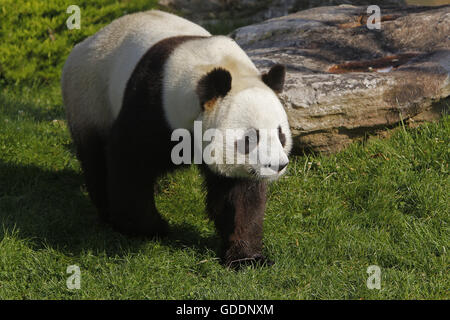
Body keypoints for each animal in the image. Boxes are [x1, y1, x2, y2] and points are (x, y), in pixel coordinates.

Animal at [62, 10, 292, 268]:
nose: (278, 165)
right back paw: (108, 214)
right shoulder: (154, 105)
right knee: (97, 159)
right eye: (250, 138)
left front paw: (246, 258)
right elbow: (130, 161)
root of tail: (88, 41)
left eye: (280, 134)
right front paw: (148, 228)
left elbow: (240, 195)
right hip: (90, 98)